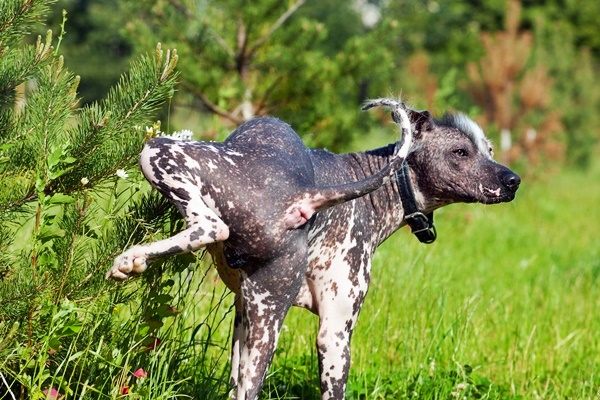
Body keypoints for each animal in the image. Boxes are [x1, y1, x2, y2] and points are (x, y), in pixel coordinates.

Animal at [108, 97, 520, 400]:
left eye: (489, 149)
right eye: (461, 152)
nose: (513, 180)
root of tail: (303, 193)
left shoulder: (250, 314)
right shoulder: (331, 332)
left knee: (211, 227)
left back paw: (132, 259)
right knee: (210, 226)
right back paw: (131, 259)